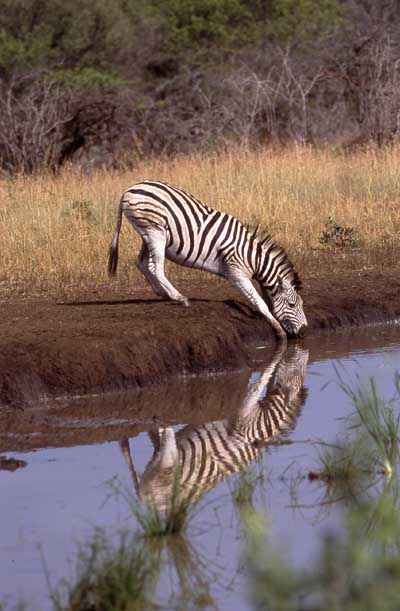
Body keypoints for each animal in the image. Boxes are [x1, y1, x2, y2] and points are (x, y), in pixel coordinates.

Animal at [106, 179, 306, 340]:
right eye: (292, 304)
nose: (304, 332)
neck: (253, 258)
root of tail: (129, 189)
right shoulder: (236, 273)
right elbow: (259, 302)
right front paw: (278, 329)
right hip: (155, 232)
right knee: (156, 267)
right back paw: (179, 298)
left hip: (147, 234)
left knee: (142, 263)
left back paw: (162, 293)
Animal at [120, 344, 308, 512]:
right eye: (297, 371)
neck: (266, 423)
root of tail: (149, 503)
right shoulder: (245, 413)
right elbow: (261, 381)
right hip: (165, 467)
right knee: (165, 439)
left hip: (157, 470)